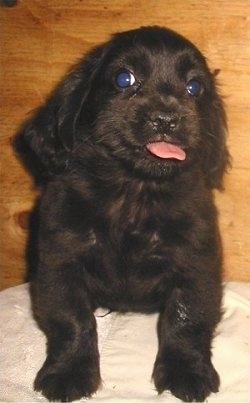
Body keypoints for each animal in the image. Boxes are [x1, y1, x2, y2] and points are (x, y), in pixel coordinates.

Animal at [16, 26, 230, 402]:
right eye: (123, 78)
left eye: (194, 87)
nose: (167, 119)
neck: (135, 192)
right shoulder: (60, 263)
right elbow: (73, 321)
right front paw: (69, 373)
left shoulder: (196, 264)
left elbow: (186, 320)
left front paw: (186, 372)